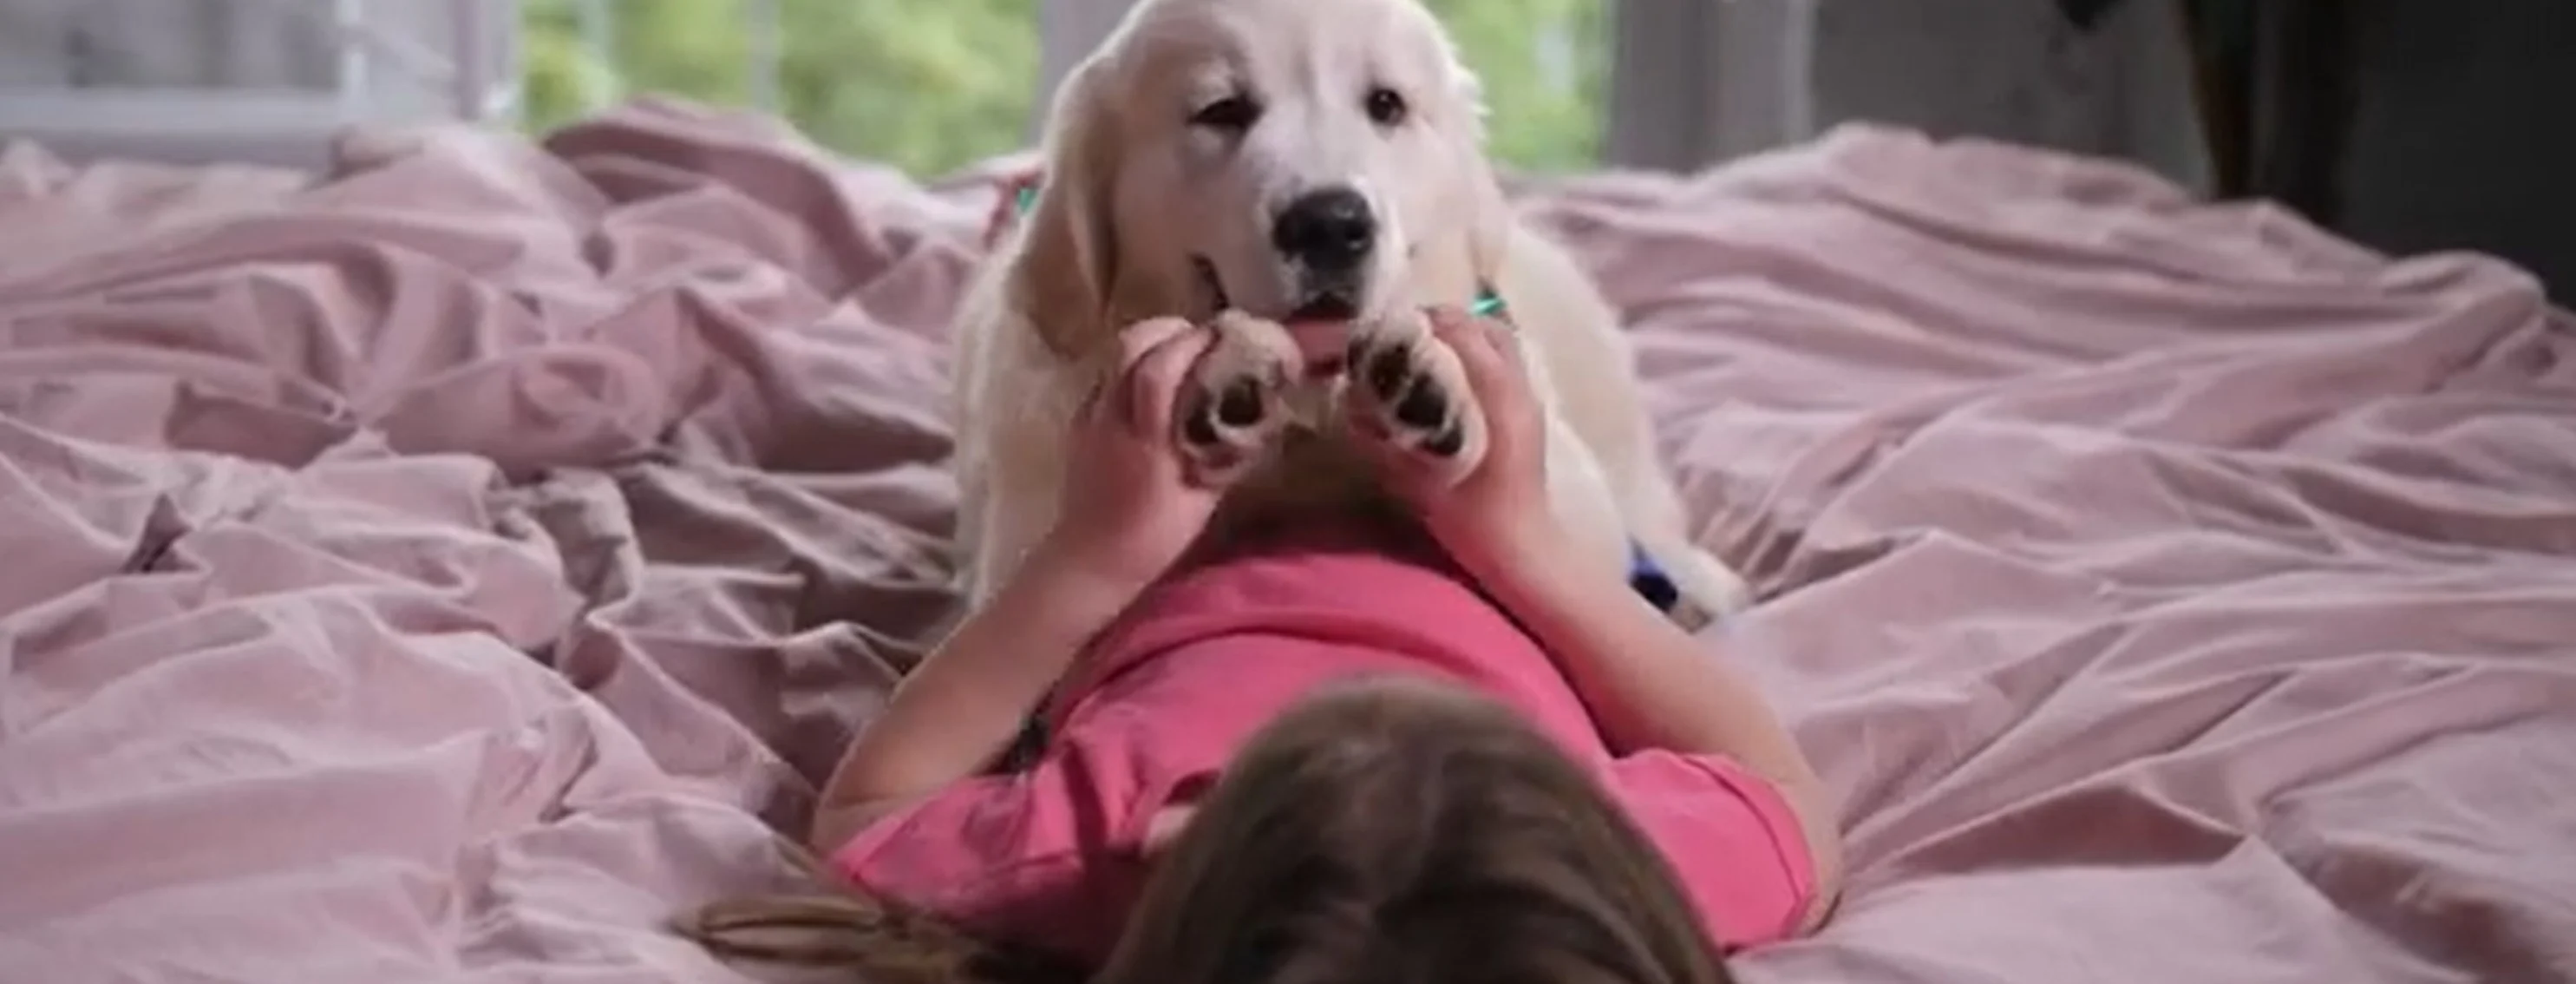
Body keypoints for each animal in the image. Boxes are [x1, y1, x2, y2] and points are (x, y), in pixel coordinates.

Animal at [947, 0, 1751, 626]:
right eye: (1221, 111)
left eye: (1386, 105)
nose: (1330, 224)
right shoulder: (1024, 538)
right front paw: (1225, 382)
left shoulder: (1576, 515)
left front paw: (1429, 385)